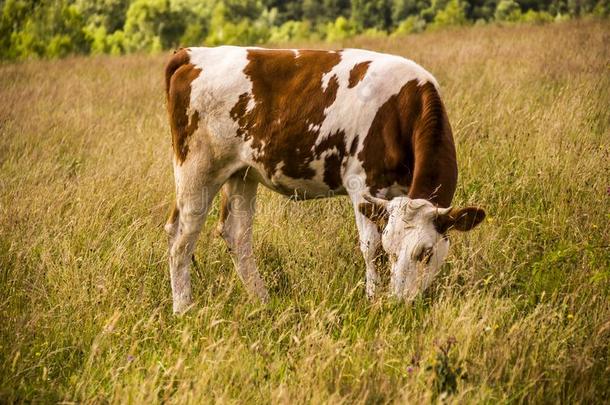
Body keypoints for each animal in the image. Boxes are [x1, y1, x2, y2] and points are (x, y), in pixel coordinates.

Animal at [163, 46, 484, 312]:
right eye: (393, 251)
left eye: (426, 253)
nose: (401, 302)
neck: (402, 107)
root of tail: (191, 54)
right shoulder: (362, 184)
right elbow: (371, 248)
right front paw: (372, 299)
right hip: (197, 168)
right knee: (181, 237)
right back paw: (183, 309)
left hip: (241, 173)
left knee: (236, 235)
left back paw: (262, 301)